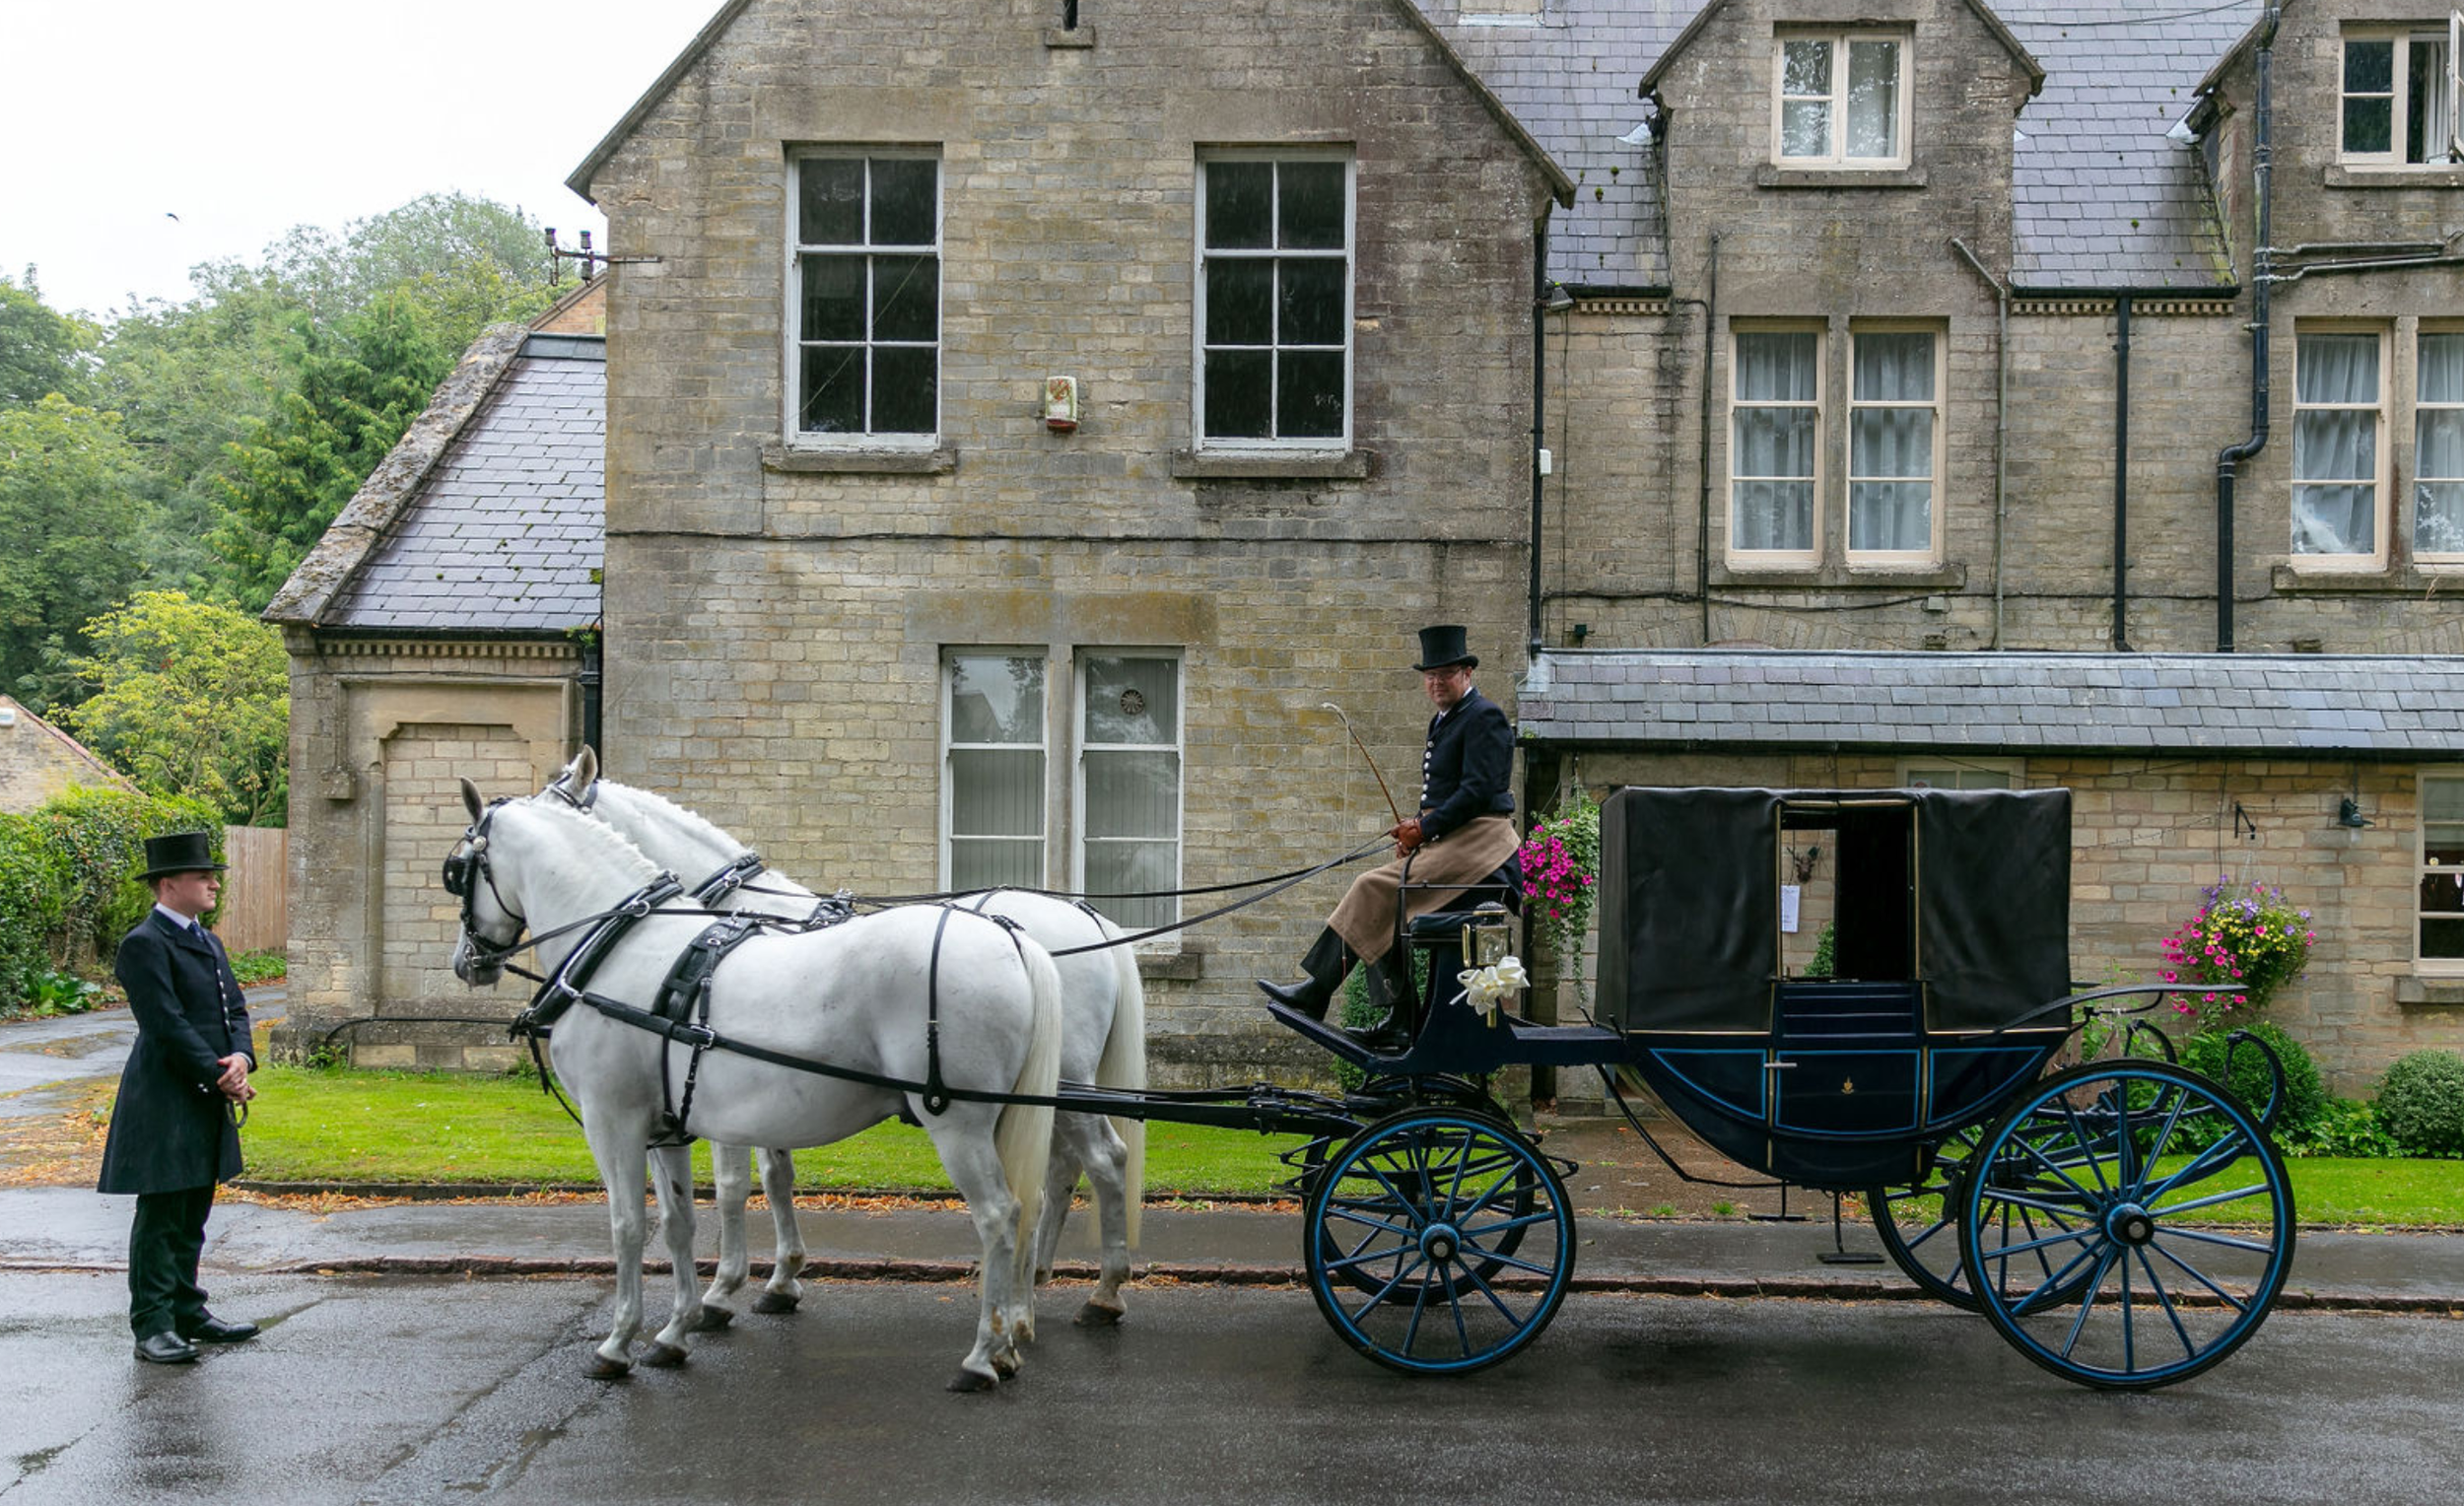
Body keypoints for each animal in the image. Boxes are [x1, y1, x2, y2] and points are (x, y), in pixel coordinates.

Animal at [446, 777, 1063, 1390]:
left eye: (456, 870)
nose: (467, 962)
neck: (624, 948)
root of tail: (1010, 937)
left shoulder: (613, 1120)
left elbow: (631, 1226)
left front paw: (621, 1341)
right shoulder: (669, 1127)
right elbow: (679, 1222)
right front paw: (678, 1329)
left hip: (958, 1122)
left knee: (998, 1215)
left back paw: (983, 1354)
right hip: (1001, 1117)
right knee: (1028, 1204)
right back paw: (1010, 1341)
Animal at [539, 753, 1148, 1332]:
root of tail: (1088, 918)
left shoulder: (711, 1080)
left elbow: (734, 1185)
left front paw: (721, 1291)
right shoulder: (764, 1091)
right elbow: (776, 1176)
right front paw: (782, 1278)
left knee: (1101, 1160)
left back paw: (1100, 1292)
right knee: (1063, 1167)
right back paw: (1039, 1275)